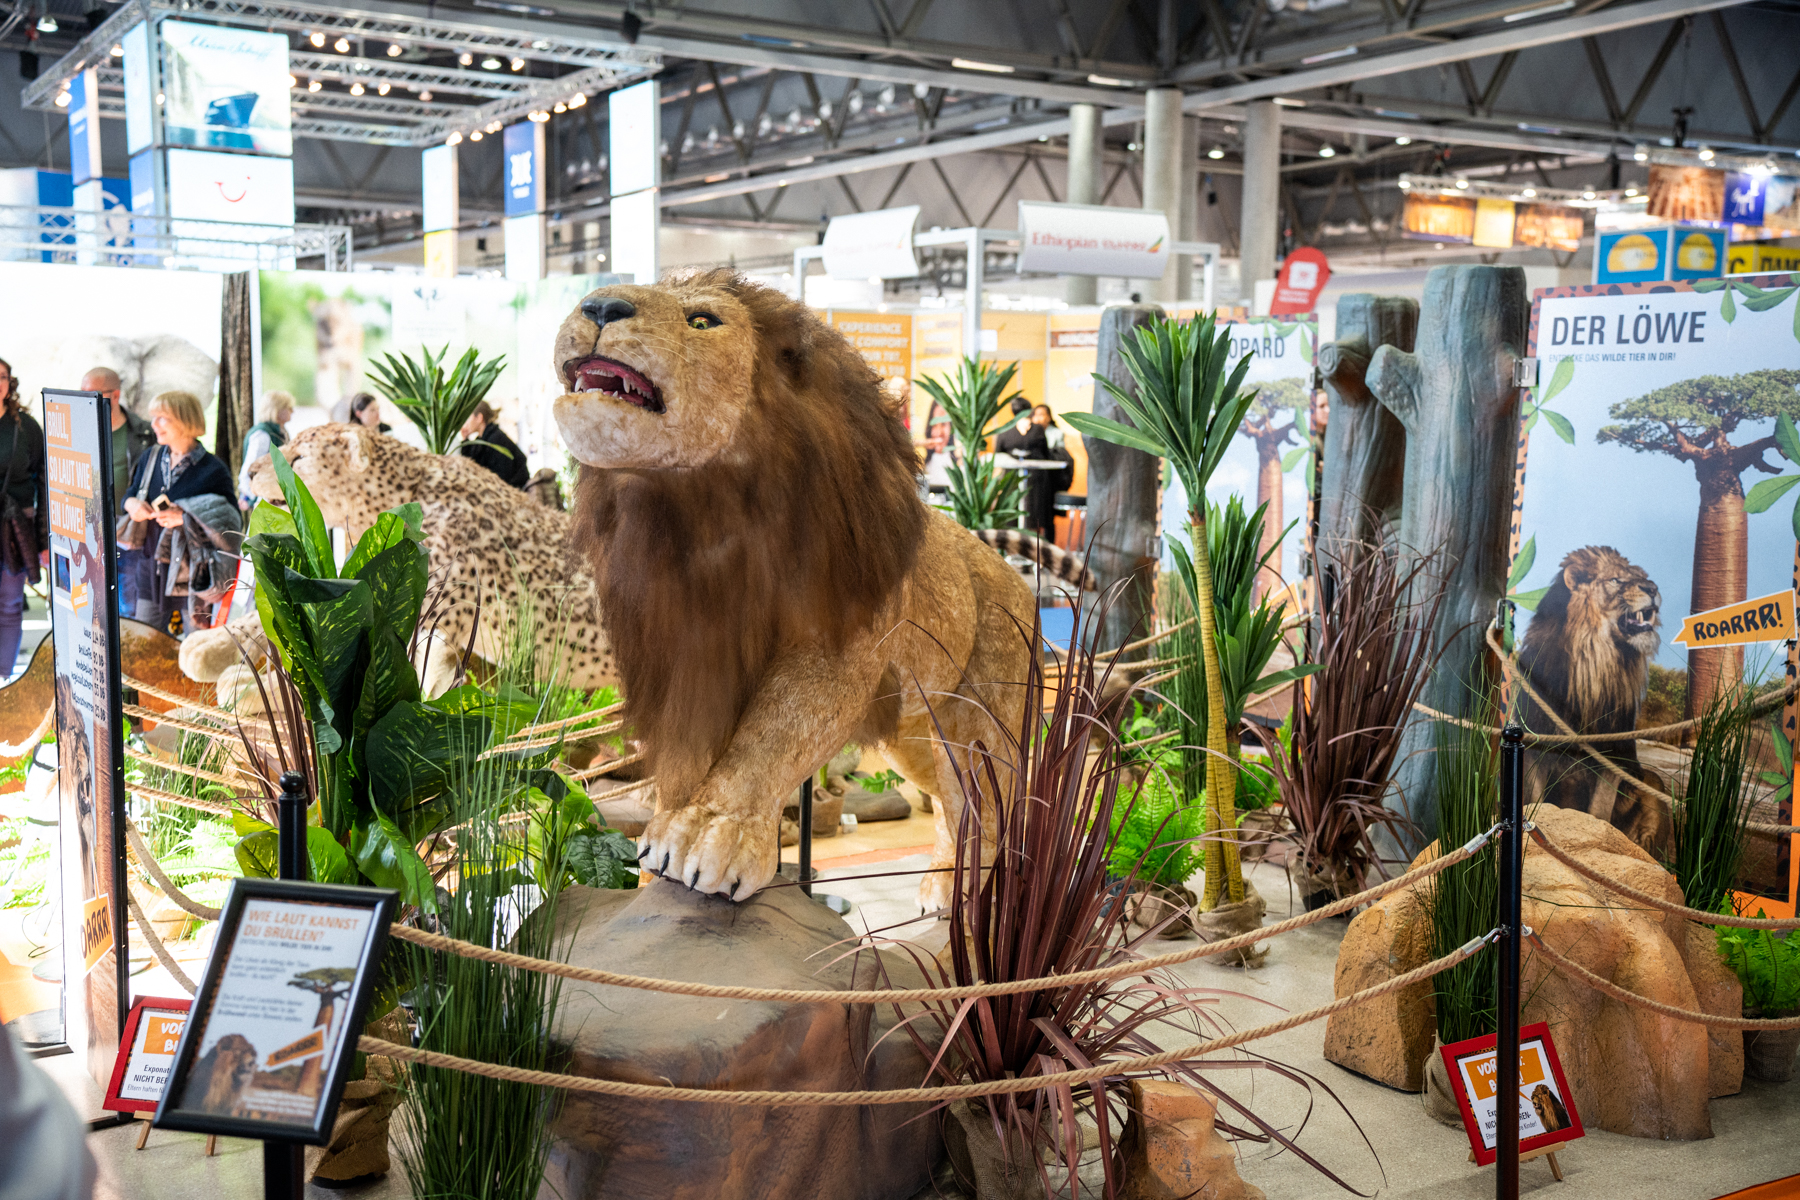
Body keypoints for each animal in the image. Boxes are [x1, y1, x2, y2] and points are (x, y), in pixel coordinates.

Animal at [561, 271, 1036, 906]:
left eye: (703, 321)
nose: (599, 305)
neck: (704, 512)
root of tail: (1014, 573)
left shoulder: (833, 650)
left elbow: (769, 742)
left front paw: (711, 834)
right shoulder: (688, 655)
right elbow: (686, 762)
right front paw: (658, 853)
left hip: (980, 712)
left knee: (983, 796)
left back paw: (969, 892)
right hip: (912, 733)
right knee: (946, 798)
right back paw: (944, 878)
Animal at [1512, 550, 1663, 859]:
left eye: (1642, 577)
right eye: (1616, 580)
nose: (1653, 588)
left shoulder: (1612, 758)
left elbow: (1598, 813)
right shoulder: (1534, 750)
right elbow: (1535, 802)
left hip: (1652, 781)